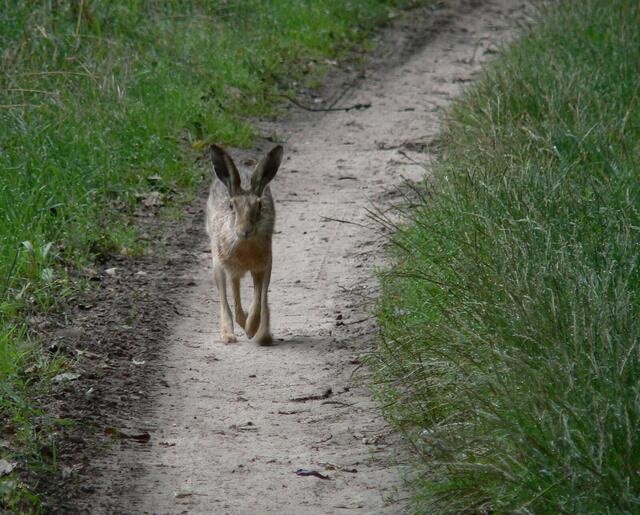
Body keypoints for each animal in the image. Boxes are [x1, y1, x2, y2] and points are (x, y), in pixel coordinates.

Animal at [205, 144, 283, 346]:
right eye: (232, 206)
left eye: (259, 206)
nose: (245, 230)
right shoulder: (233, 270)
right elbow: (236, 300)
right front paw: (245, 325)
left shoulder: (262, 267)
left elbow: (258, 300)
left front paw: (251, 328)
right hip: (217, 263)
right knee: (224, 299)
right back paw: (227, 335)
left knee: (263, 299)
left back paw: (264, 335)